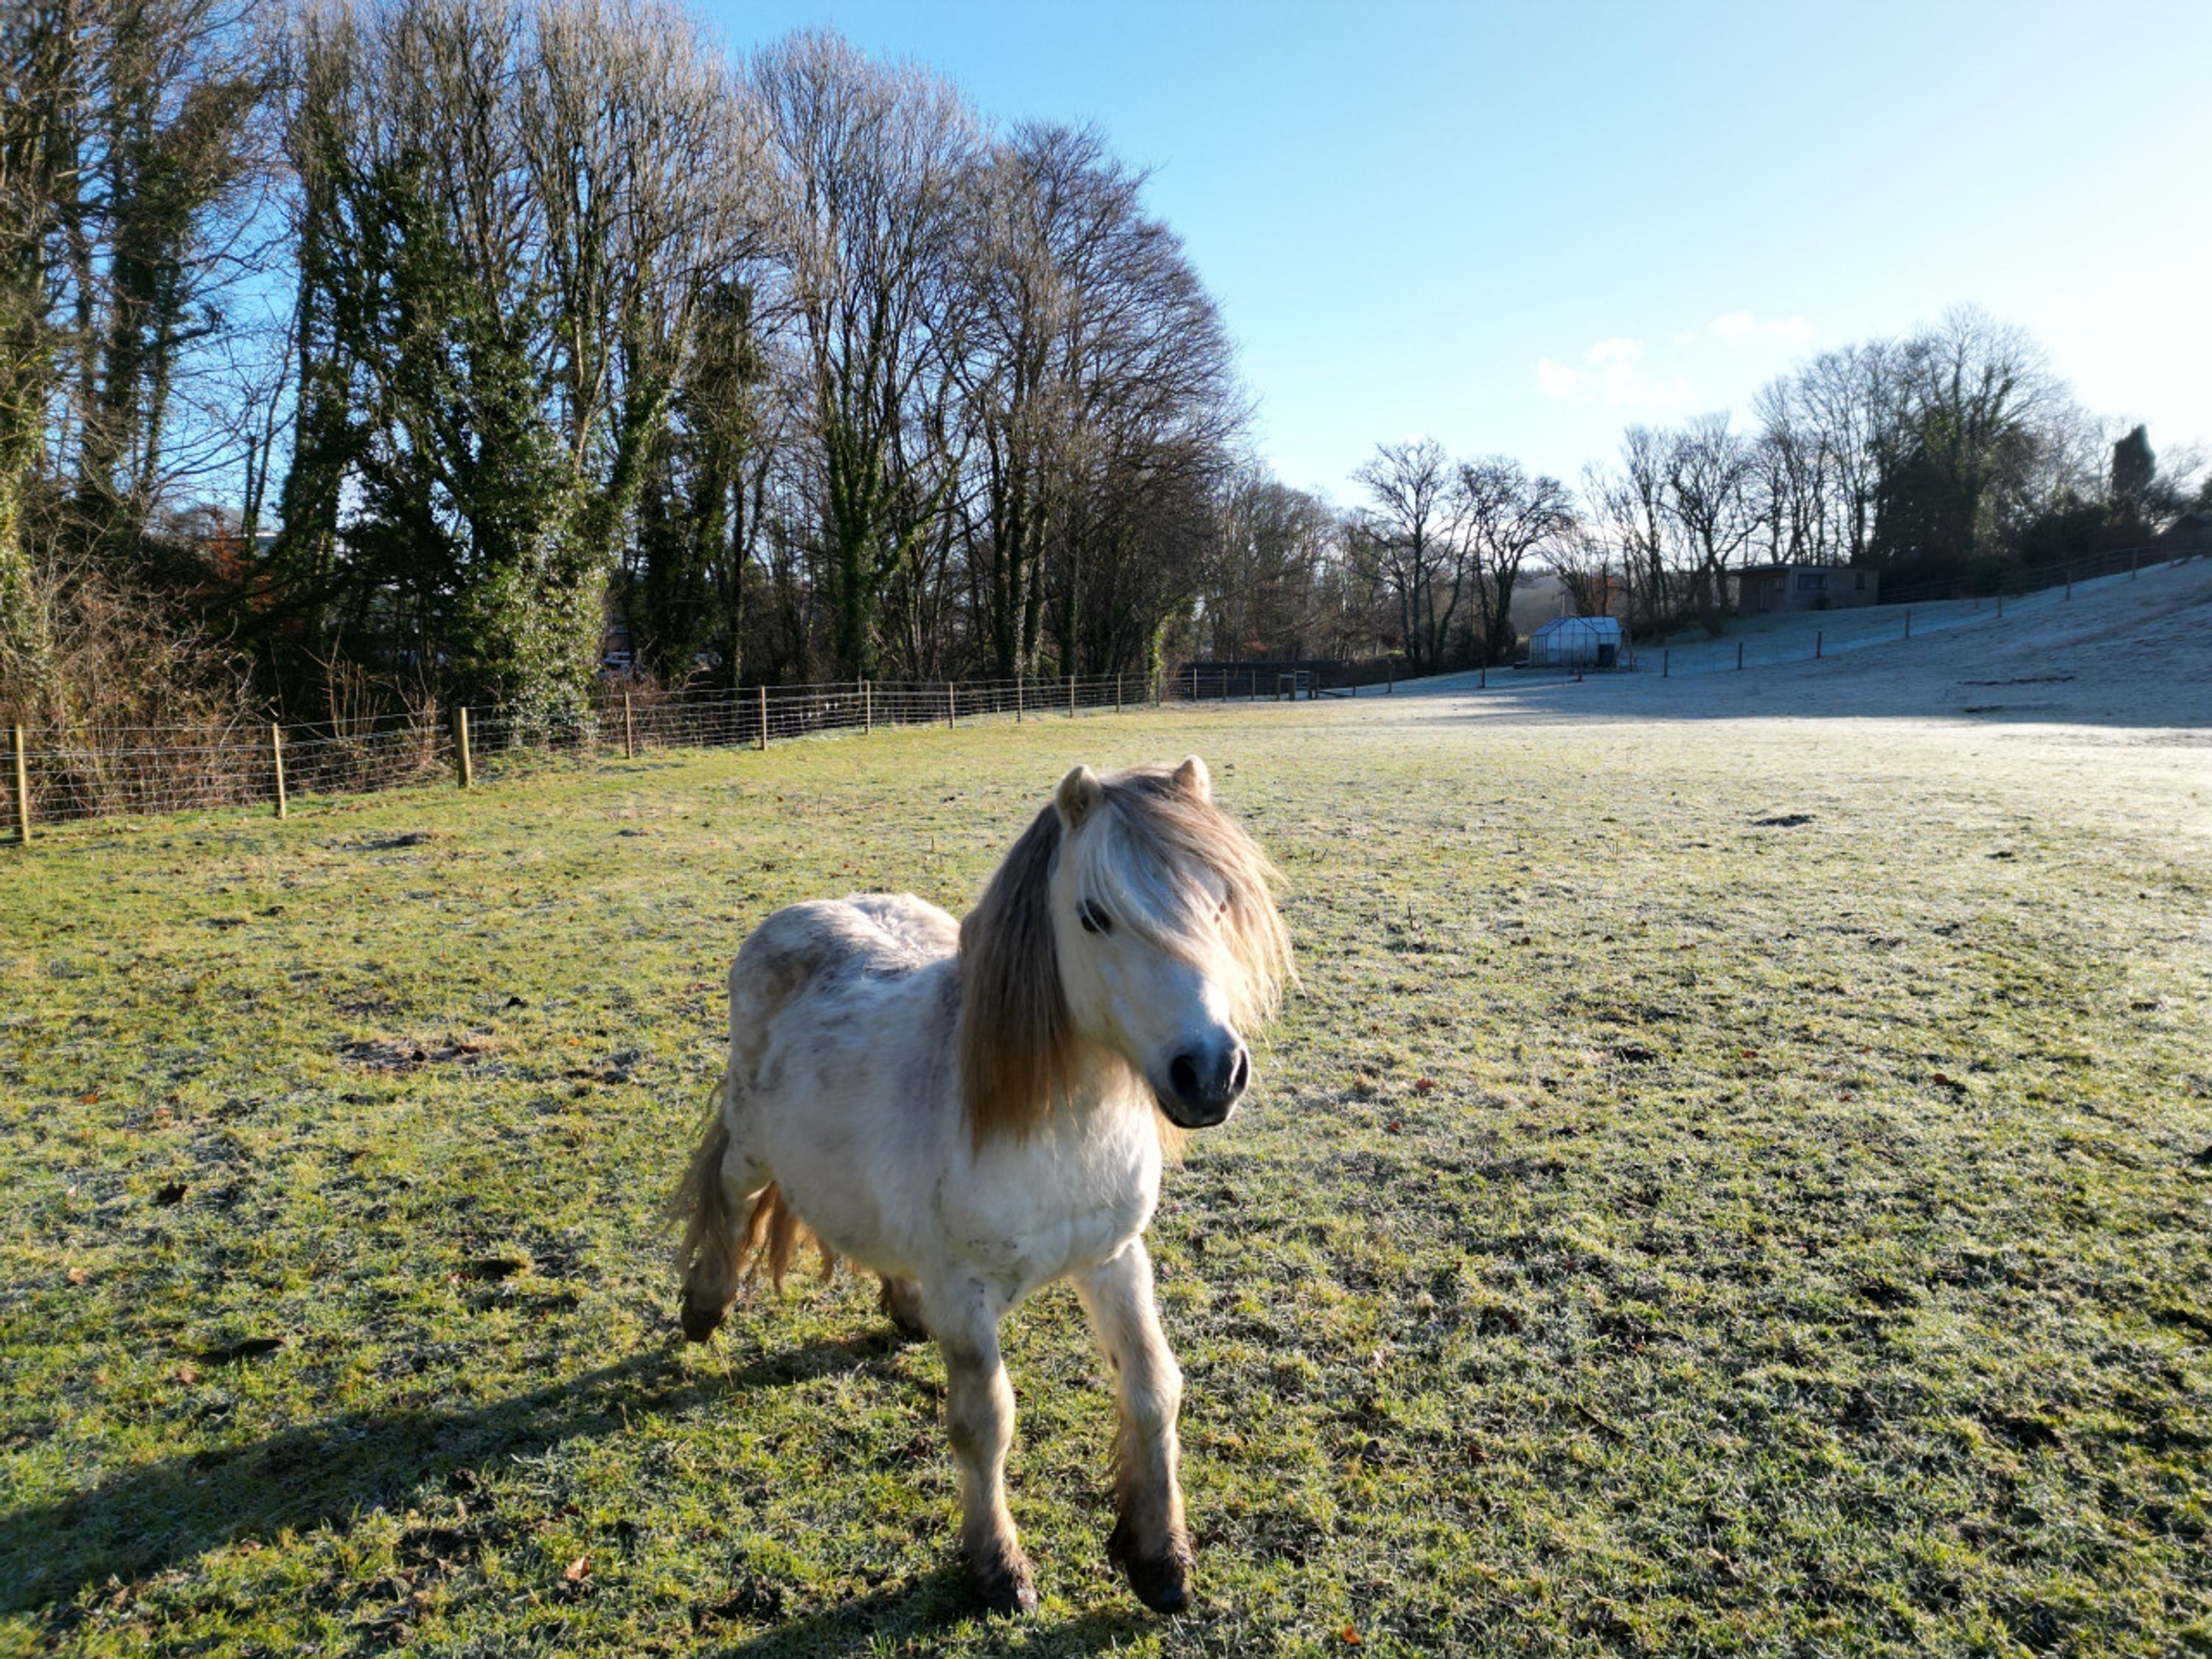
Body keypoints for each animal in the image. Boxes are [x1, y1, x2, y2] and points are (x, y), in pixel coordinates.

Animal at [672, 755, 1291, 1615]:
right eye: (1095, 915)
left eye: (1220, 900)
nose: (1209, 1074)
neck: (1053, 1131)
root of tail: (811, 909)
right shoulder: (966, 1298)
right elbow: (985, 1423)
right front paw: (998, 1567)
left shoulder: (1115, 1259)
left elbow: (1151, 1389)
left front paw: (1160, 1558)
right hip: (755, 1144)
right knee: (730, 1198)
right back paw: (704, 1306)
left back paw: (902, 1307)